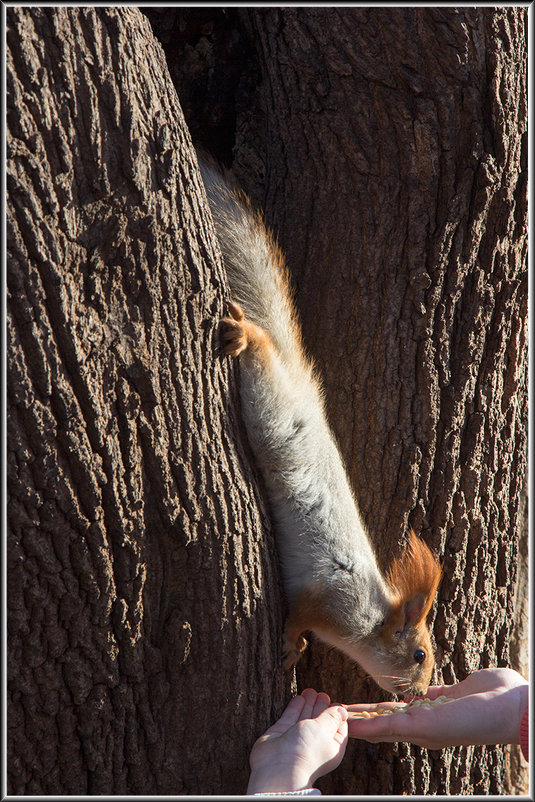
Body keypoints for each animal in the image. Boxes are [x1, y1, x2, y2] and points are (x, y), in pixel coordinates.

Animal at [199, 156, 442, 692]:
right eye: (419, 654)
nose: (419, 693)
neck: (370, 618)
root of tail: (303, 387)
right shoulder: (327, 599)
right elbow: (298, 616)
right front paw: (294, 647)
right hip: (269, 403)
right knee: (261, 349)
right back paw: (244, 335)